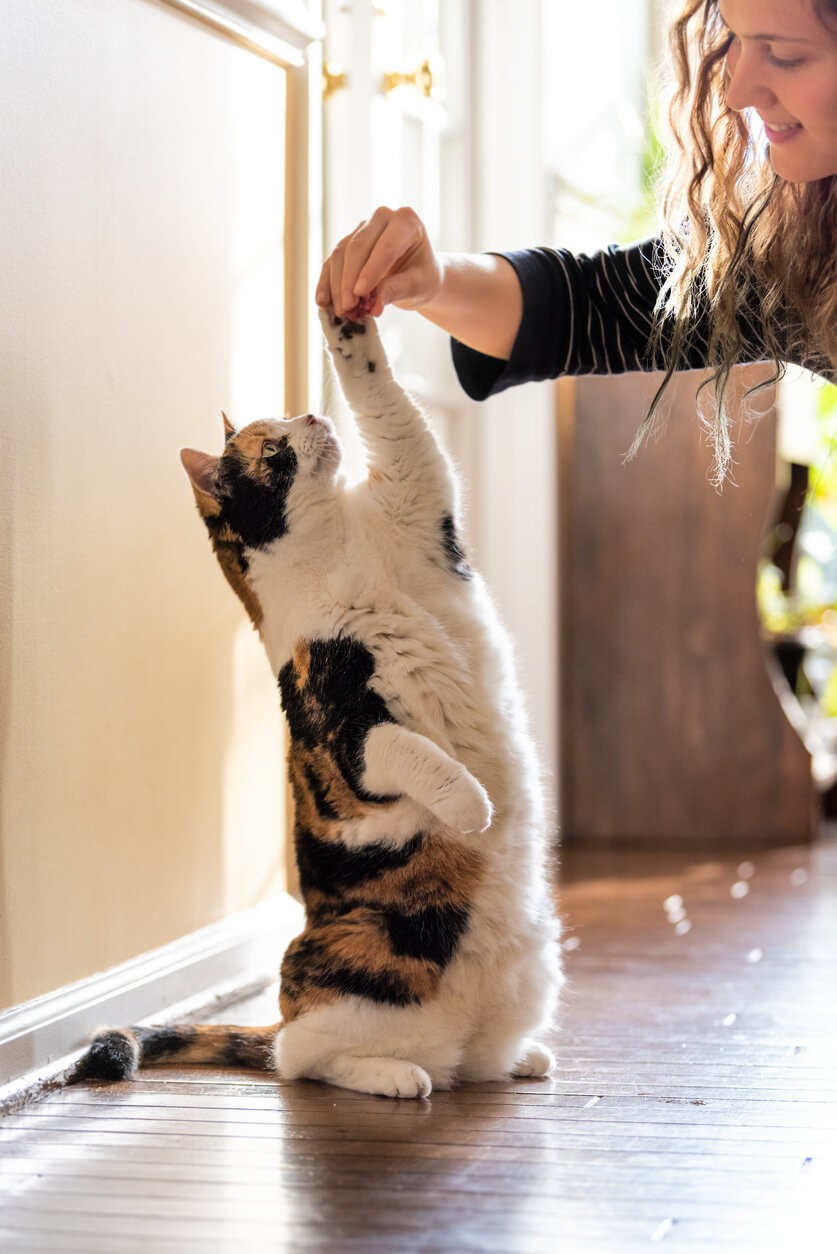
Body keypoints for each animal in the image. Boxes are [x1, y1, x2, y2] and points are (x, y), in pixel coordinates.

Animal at [76, 305, 562, 1098]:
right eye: (273, 447)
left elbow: (388, 407)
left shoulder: (415, 489)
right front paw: (472, 805)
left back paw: (517, 1057)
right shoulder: (340, 735)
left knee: (448, 1058)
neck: (339, 545)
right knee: (301, 1058)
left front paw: (347, 321)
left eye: (284, 418)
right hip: (349, 957)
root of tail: (460, 1036)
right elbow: (406, 750)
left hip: (534, 969)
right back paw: (396, 1076)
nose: (307, 414)